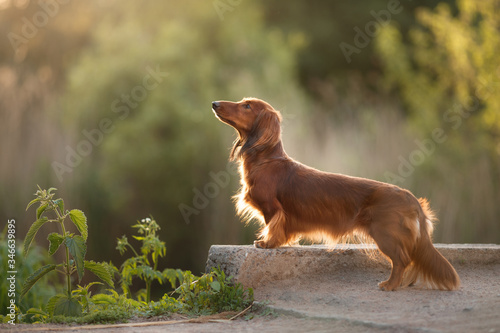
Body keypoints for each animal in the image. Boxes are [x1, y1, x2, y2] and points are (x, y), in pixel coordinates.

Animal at [210, 97, 458, 290]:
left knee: (402, 260)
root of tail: (411, 199)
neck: (267, 160)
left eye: (247, 106)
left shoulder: (273, 208)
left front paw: (266, 243)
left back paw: (390, 285)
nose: (214, 104)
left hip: (385, 234)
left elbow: (272, 226)